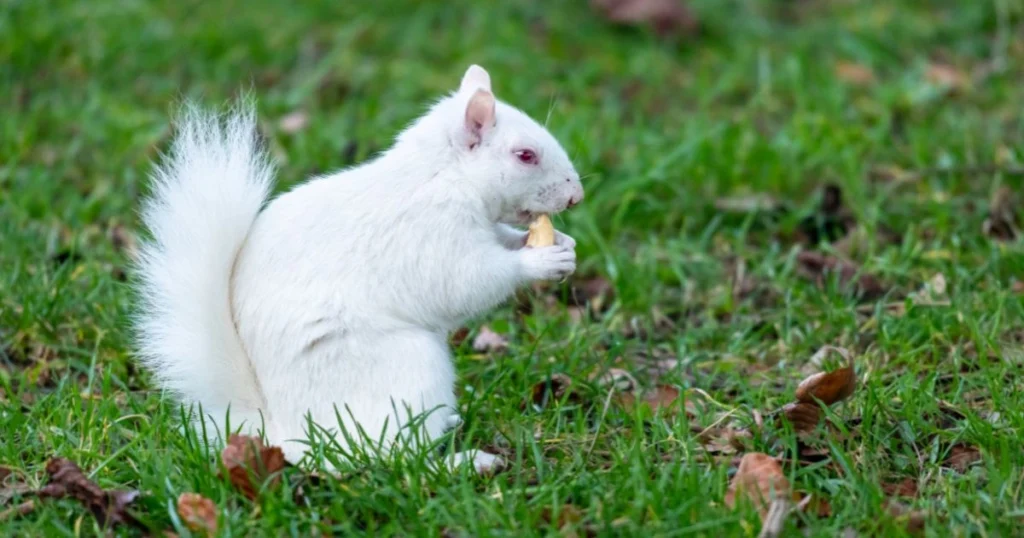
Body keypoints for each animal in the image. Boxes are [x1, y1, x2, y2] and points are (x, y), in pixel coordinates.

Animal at [130, 65, 585, 471]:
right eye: (525, 155)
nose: (576, 196)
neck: (443, 176)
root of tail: (287, 435)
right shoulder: (429, 236)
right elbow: (468, 280)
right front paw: (539, 261)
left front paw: (562, 244)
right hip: (407, 367)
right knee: (394, 458)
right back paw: (465, 462)